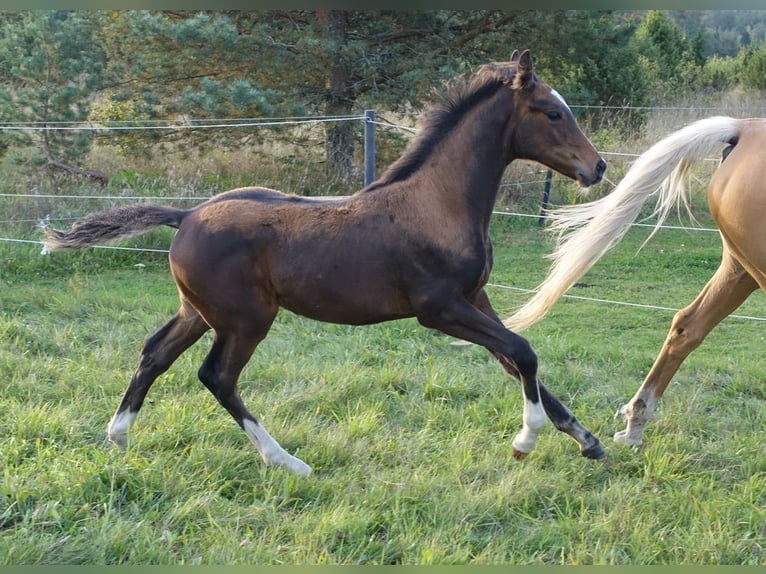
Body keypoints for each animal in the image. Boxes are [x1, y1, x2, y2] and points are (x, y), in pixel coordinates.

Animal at [42, 50, 608, 476]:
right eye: (552, 112)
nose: (597, 166)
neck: (437, 203)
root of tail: (186, 215)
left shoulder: (474, 298)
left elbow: (514, 359)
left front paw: (587, 439)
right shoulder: (439, 309)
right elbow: (523, 351)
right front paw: (526, 440)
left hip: (199, 312)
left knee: (155, 353)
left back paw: (118, 436)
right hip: (246, 320)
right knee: (216, 376)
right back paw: (287, 462)